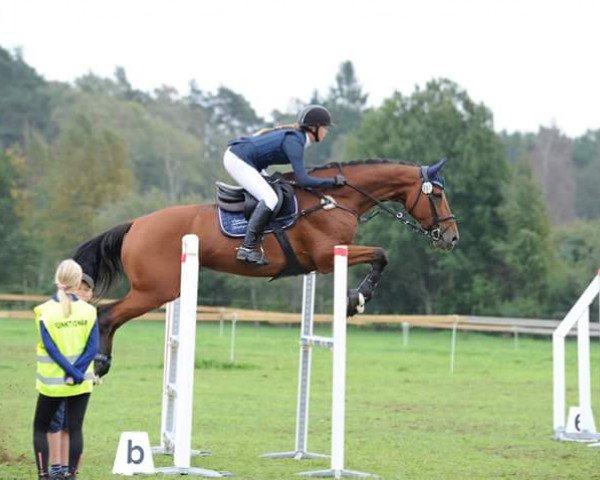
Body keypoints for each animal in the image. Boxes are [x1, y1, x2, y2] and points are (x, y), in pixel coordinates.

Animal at [72, 158, 458, 376]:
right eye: (437, 195)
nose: (452, 238)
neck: (335, 200)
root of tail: (135, 224)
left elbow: (381, 255)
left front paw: (356, 299)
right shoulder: (327, 256)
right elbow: (381, 253)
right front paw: (357, 299)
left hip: (161, 289)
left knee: (107, 315)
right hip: (155, 290)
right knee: (107, 315)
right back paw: (100, 363)